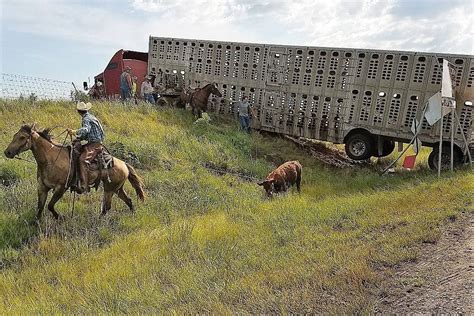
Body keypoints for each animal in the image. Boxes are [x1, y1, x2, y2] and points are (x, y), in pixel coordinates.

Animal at [3, 123, 145, 220]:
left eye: (22, 137)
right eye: (15, 135)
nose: (7, 152)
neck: (51, 159)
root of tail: (124, 164)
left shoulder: (61, 188)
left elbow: (50, 206)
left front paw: (60, 217)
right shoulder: (42, 187)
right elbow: (40, 207)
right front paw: (36, 223)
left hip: (109, 189)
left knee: (106, 207)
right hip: (117, 188)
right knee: (128, 200)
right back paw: (133, 214)